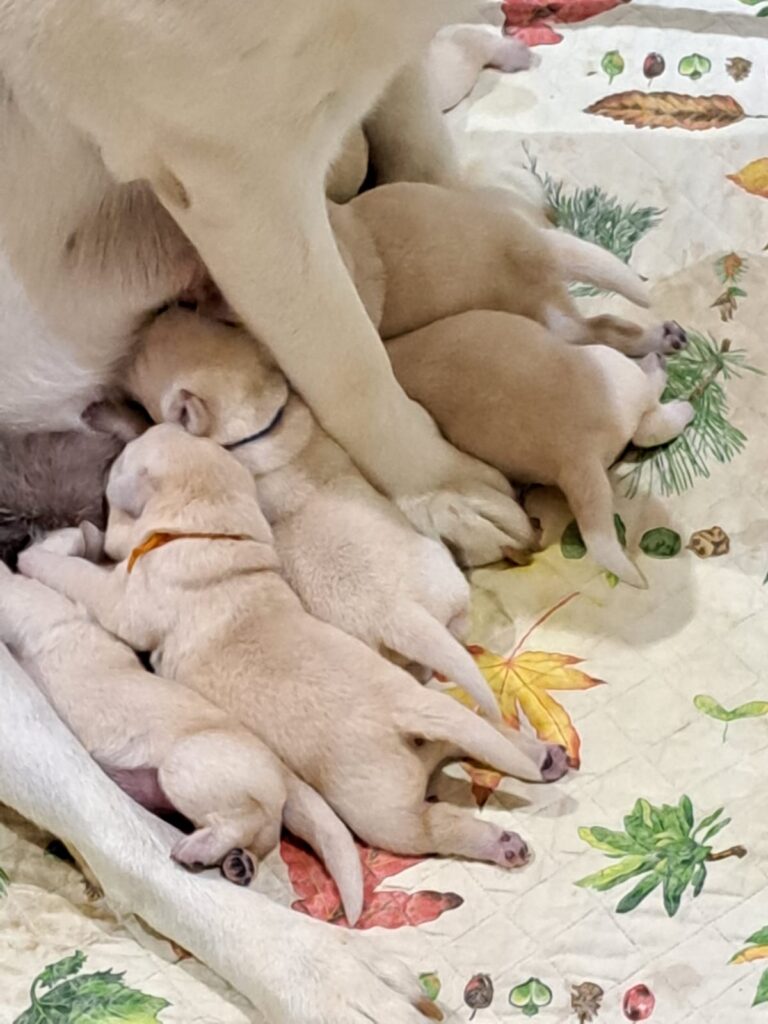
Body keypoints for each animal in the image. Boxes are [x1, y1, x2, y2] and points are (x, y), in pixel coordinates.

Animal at [0, 540, 364, 925]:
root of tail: (282, 772)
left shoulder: (23, 607)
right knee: (263, 837)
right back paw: (238, 863)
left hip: (185, 767)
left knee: (245, 818)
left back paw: (200, 849)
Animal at [18, 425, 573, 872]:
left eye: (125, 459)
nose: (121, 439)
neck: (213, 531)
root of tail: (408, 710)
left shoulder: (127, 601)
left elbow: (85, 577)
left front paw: (35, 558)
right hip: (438, 712)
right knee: (484, 730)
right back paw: (540, 759)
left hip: (381, 809)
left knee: (431, 826)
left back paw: (498, 842)